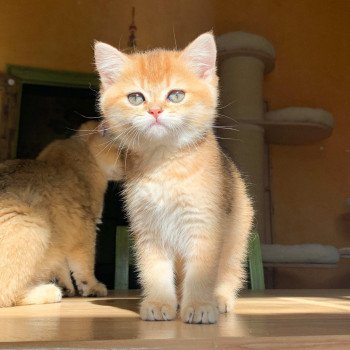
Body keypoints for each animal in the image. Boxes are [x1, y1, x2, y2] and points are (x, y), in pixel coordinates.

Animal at [0, 121, 123, 308]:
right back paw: (48, 291)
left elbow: (60, 264)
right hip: (35, 226)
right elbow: (85, 267)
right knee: (7, 294)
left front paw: (66, 286)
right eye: (125, 152)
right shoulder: (86, 230)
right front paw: (92, 287)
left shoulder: (63, 233)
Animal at [95, 31, 254, 324]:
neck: (165, 169)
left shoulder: (204, 225)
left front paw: (200, 305)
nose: (155, 111)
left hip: (236, 237)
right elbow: (154, 271)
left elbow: (202, 273)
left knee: (229, 272)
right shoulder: (148, 229)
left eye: (176, 95)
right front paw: (159, 303)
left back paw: (219, 299)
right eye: (136, 98)